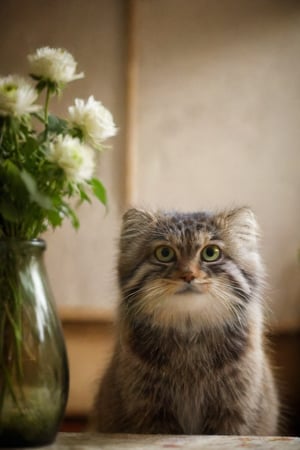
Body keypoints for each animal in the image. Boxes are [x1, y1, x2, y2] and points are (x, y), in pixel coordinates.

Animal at [91, 208, 278, 436]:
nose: (188, 275)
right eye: (164, 253)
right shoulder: (150, 410)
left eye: (211, 253)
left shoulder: (234, 409)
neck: (190, 338)